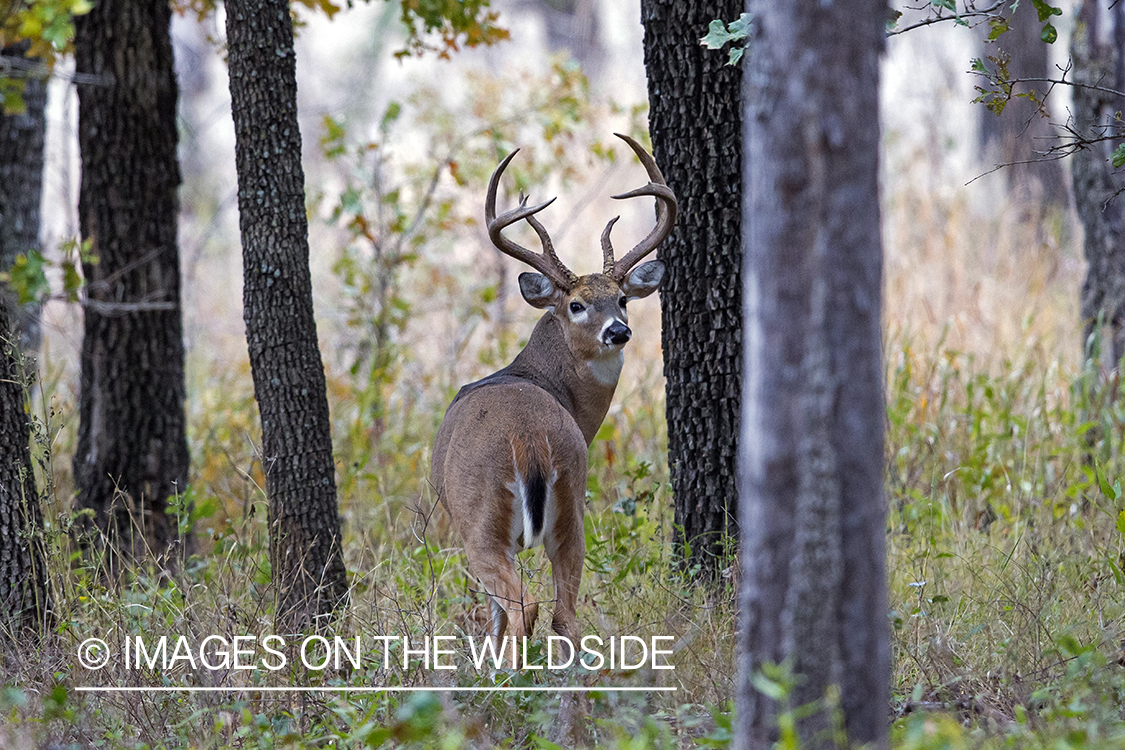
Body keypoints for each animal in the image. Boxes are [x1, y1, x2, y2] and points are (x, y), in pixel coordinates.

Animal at [429, 132, 675, 665]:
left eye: (622, 299)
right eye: (577, 304)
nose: (619, 331)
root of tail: (529, 441)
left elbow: (495, 616)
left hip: (479, 520)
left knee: (522, 606)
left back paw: (505, 677)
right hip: (572, 506)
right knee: (565, 614)